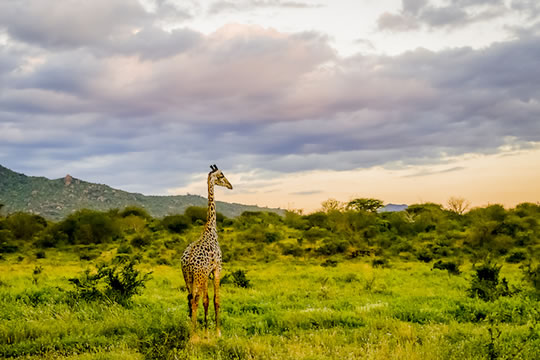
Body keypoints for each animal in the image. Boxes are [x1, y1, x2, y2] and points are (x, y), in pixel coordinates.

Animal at [181, 165, 232, 336]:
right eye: (221, 175)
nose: (230, 185)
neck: (211, 231)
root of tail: (187, 262)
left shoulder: (207, 273)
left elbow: (206, 300)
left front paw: (206, 331)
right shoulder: (217, 269)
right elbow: (216, 300)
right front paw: (217, 332)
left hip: (188, 277)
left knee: (190, 298)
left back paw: (193, 330)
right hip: (198, 276)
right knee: (194, 299)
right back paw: (193, 336)